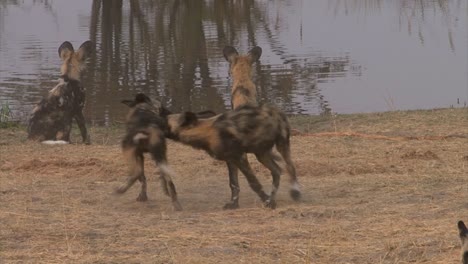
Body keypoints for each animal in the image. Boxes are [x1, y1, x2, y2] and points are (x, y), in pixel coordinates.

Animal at [166, 103, 302, 208]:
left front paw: (265, 199)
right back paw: (272, 198)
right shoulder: (231, 159)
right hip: (261, 153)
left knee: (290, 167)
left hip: (281, 145)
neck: (206, 132)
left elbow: (254, 183)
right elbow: (234, 184)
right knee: (277, 171)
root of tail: (276, 110)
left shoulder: (239, 157)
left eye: (164, 121)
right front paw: (234, 204)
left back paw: (293, 193)